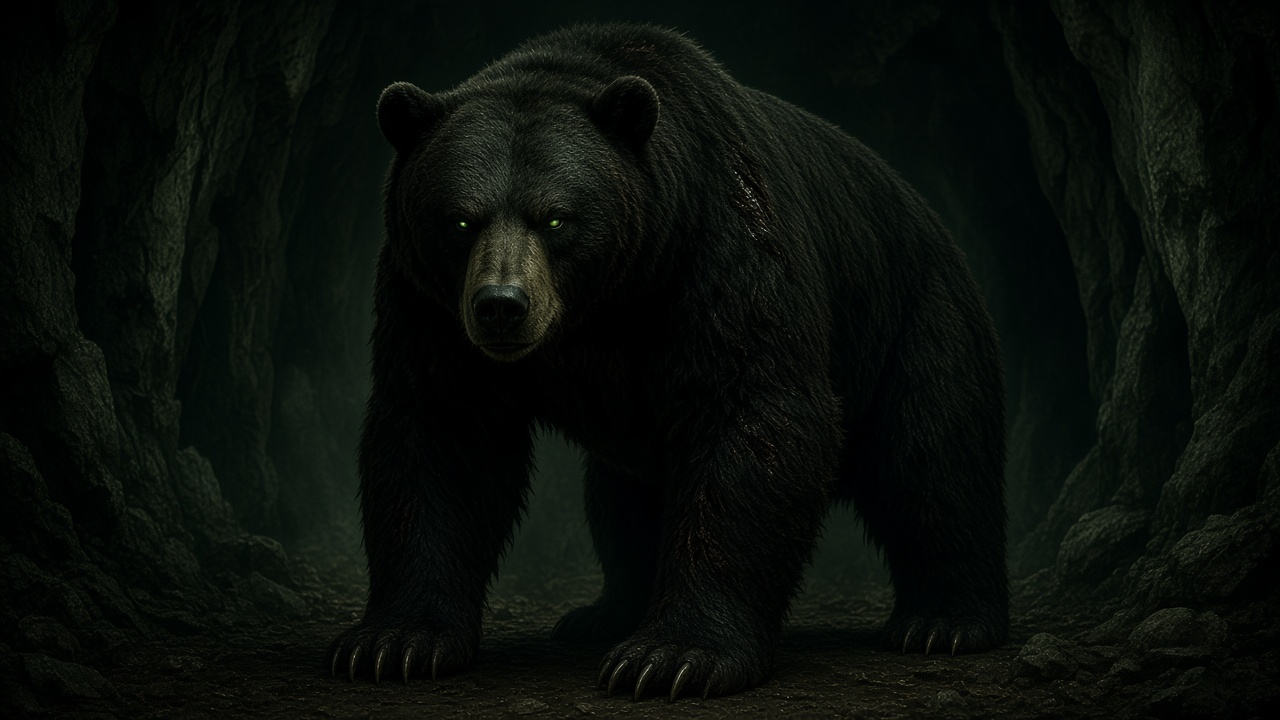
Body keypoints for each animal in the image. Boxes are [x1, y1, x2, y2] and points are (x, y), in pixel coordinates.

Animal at [327, 22, 1008, 700]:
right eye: (461, 220)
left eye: (556, 218)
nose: (501, 306)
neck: (606, 306)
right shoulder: (429, 307)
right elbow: (439, 437)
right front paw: (394, 643)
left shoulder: (720, 252)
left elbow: (751, 419)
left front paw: (672, 657)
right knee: (620, 502)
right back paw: (602, 613)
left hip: (913, 318)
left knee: (929, 460)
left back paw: (944, 622)